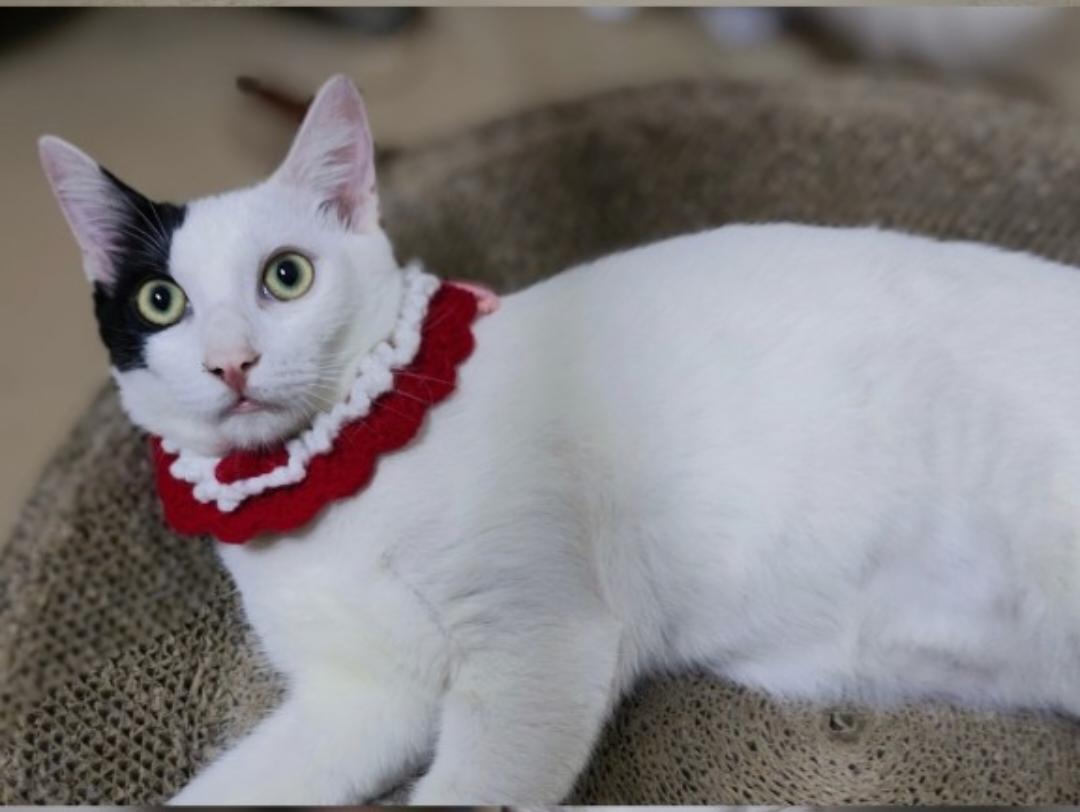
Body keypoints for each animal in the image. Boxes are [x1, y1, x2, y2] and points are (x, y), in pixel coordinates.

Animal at [39, 74, 1080, 804]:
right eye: (161, 301)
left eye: (285, 276)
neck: (326, 485)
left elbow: (471, 789)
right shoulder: (363, 699)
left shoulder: (536, 644)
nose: (231, 362)